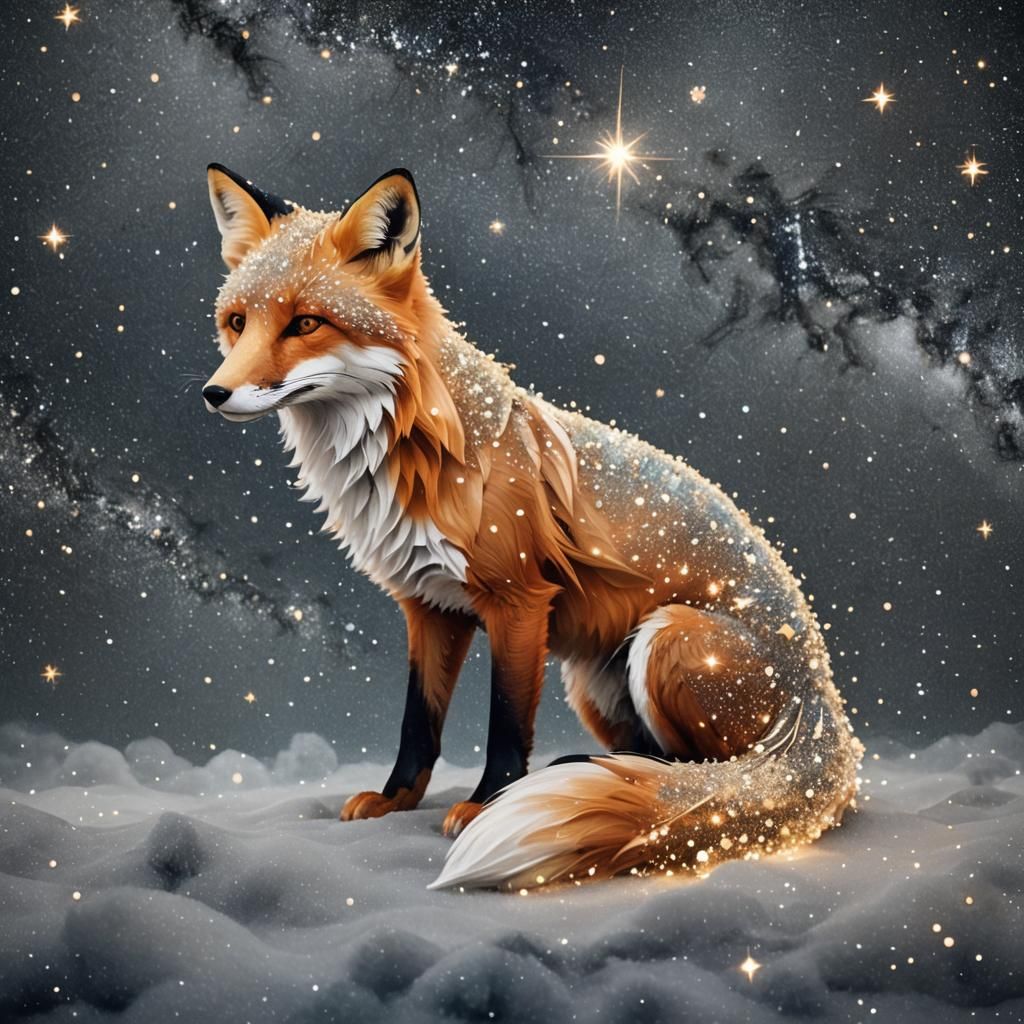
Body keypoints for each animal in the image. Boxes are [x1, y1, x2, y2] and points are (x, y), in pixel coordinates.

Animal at [201, 163, 863, 890]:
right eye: (237, 322)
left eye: (305, 323)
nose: (213, 394)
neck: (426, 454)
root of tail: (828, 710)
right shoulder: (429, 607)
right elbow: (418, 723)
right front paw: (395, 799)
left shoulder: (519, 602)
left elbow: (507, 720)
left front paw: (485, 805)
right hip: (594, 683)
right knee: (670, 766)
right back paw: (604, 773)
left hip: (665, 639)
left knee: (720, 782)